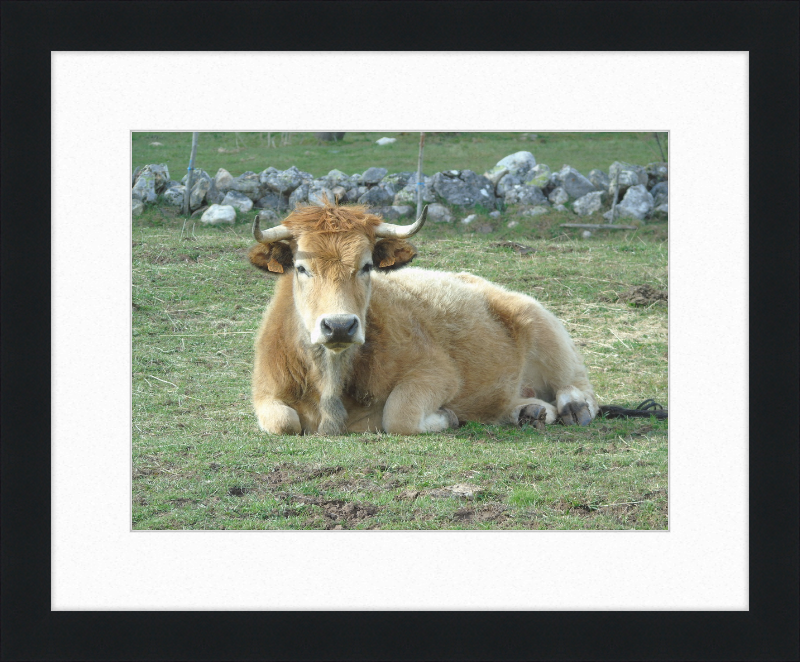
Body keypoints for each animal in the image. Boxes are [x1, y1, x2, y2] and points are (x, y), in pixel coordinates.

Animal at [250, 200, 600, 438]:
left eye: (367, 265)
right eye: (301, 267)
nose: (339, 325)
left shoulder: (439, 374)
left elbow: (398, 414)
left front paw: (447, 417)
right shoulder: (265, 393)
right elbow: (283, 422)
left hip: (543, 327)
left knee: (579, 385)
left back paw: (573, 407)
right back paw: (529, 411)